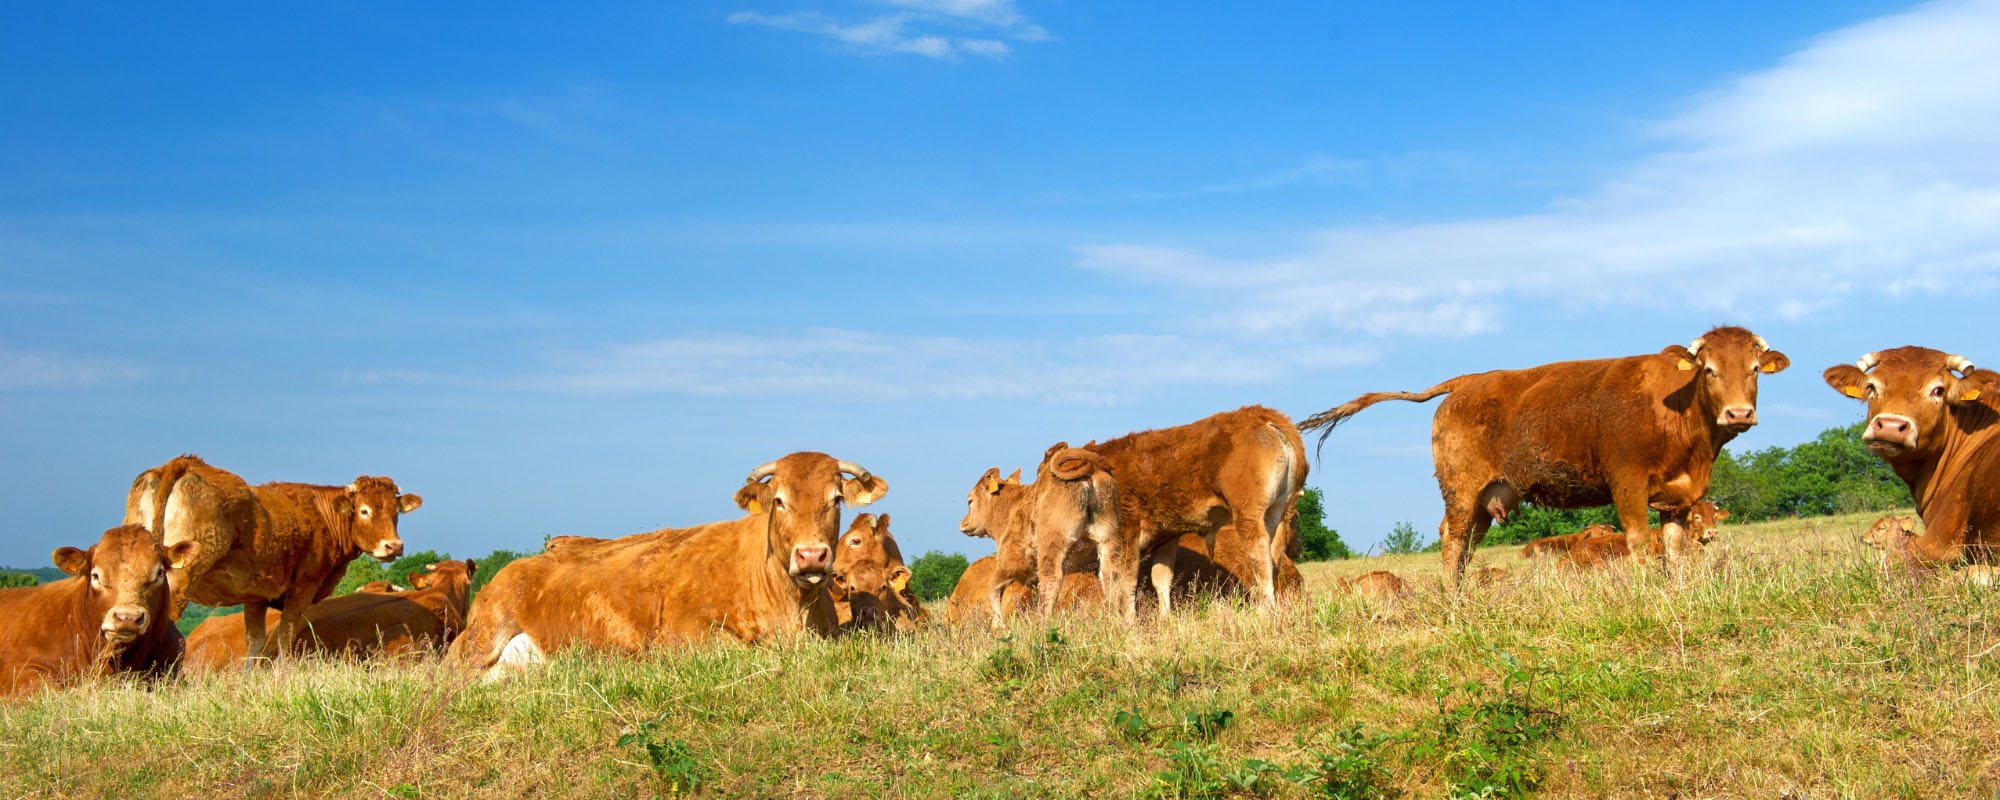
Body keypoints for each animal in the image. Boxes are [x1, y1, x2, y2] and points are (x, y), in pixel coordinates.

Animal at [124, 455, 421, 662]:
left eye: (395, 511)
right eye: (363, 510)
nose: (393, 546)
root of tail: (184, 462)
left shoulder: (256, 596)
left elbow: (255, 644)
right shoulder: (302, 589)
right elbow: (281, 640)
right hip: (179, 580)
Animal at [449, 453, 885, 679]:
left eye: (836, 499)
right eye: (778, 500)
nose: (811, 555)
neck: (793, 608)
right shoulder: (686, 634)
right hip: (482, 638)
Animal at [959, 444, 1121, 626]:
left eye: (970, 501)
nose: (963, 524)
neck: (1011, 507)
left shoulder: (1010, 563)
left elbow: (992, 587)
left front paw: (998, 625)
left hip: (1053, 546)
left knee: (1052, 581)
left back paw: (1043, 624)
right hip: (1108, 538)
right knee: (1114, 576)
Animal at [1077, 406, 1308, 613]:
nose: (1299, 549)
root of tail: (1263, 415)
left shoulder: (1123, 536)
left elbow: (1118, 581)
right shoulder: (1166, 538)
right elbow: (1160, 578)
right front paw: (1165, 620)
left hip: (1249, 515)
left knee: (1260, 559)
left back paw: (1265, 612)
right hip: (1275, 513)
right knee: (1273, 558)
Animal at [1300, 327, 1787, 587]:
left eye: (1754, 369)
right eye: (1709, 371)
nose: (1739, 413)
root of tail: (1469, 380)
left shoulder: (1679, 495)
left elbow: (1673, 546)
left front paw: (1677, 587)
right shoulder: (1627, 484)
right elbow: (1637, 540)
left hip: (1486, 498)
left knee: (1468, 543)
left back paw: (1463, 593)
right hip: (1461, 488)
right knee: (1451, 538)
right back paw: (1452, 598)